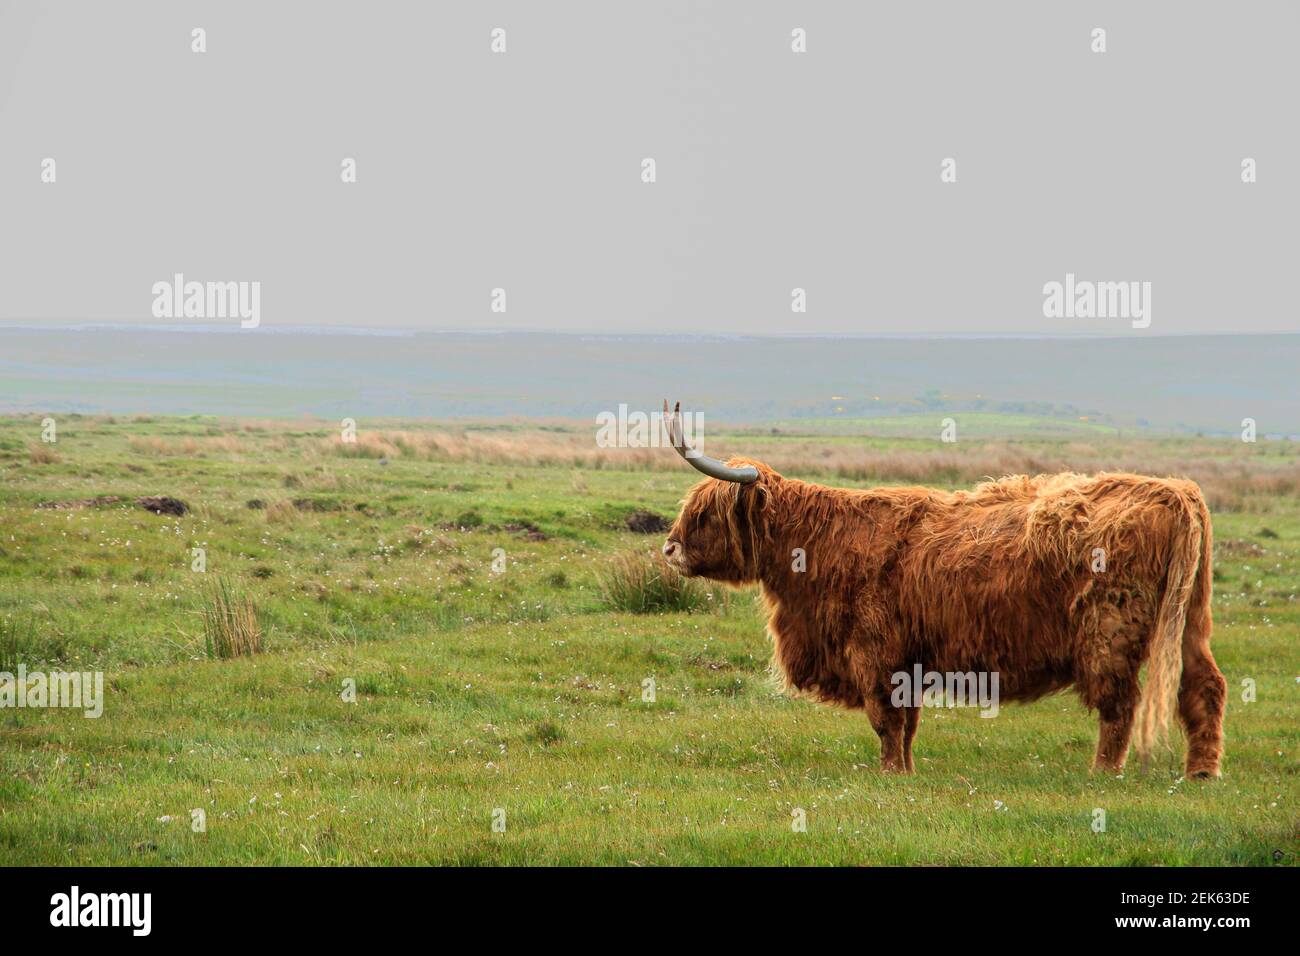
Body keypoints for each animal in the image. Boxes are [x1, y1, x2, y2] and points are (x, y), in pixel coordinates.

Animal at [658, 401, 1226, 777]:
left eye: (704, 513)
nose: (669, 547)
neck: (821, 542)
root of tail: (1173, 490)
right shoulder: (907, 657)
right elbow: (907, 722)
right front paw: (906, 773)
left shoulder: (874, 652)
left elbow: (885, 720)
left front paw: (890, 774)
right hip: (1190, 621)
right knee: (1204, 687)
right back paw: (1200, 772)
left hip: (1110, 631)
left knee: (1120, 704)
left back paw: (1103, 773)